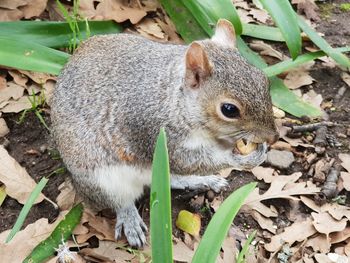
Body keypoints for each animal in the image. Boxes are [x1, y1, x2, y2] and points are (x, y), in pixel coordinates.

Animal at [50, 19, 278, 249]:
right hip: (102, 180)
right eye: (229, 109)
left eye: (264, 81)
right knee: (119, 200)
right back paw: (130, 218)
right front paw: (242, 159)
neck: (175, 99)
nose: (273, 137)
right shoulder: (151, 129)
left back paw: (202, 180)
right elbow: (185, 160)